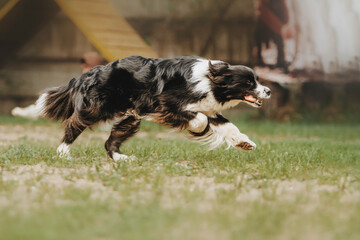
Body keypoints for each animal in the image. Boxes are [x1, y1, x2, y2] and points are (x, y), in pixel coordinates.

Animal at [35, 56, 270, 161]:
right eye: (249, 83)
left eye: (256, 80)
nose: (267, 91)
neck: (210, 80)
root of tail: (87, 73)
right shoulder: (167, 104)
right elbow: (200, 120)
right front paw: (198, 129)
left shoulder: (208, 107)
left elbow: (228, 126)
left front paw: (245, 144)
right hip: (97, 108)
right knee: (73, 124)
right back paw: (63, 152)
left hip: (131, 117)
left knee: (110, 141)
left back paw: (122, 159)